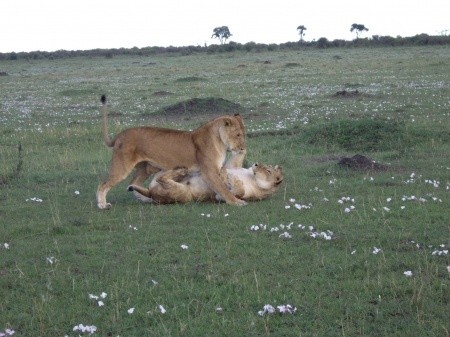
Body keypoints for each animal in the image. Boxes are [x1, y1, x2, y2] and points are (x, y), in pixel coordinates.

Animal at [127, 152, 282, 203]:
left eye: (268, 170)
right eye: (267, 166)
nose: (256, 164)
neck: (251, 177)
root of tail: (152, 194)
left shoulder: (220, 197)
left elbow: (238, 192)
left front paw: (232, 179)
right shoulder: (233, 165)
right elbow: (238, 156)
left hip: (181, 193)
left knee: (163, 179)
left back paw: (181, 171)